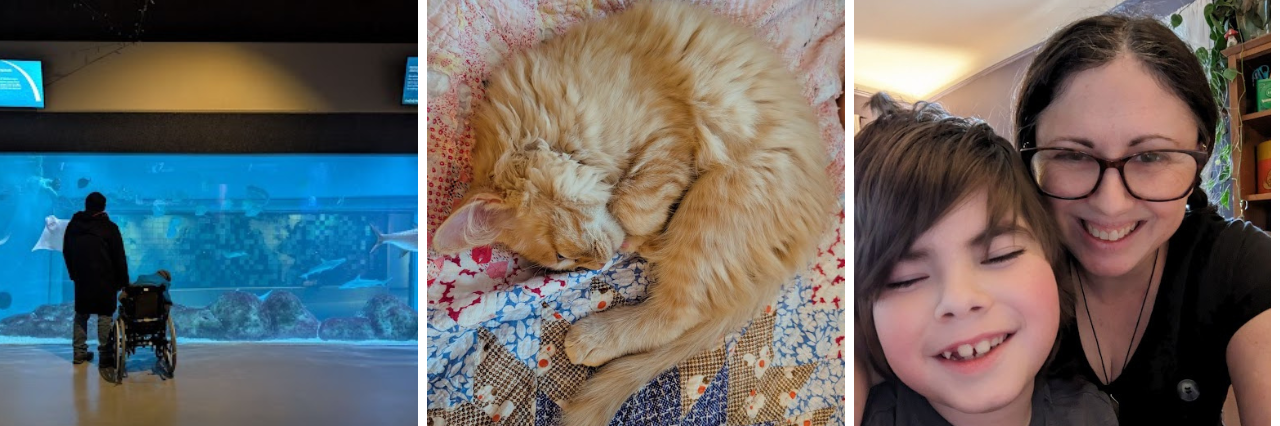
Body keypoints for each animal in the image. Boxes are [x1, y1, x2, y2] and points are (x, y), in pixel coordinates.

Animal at [431, 1, 836, 424]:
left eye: (561, 256)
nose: (597, 265)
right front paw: (640, 240)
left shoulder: (668, 131)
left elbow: (632, 205)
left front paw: (639, 234)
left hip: (721, 201)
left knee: (674, 317)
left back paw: (595, 335)